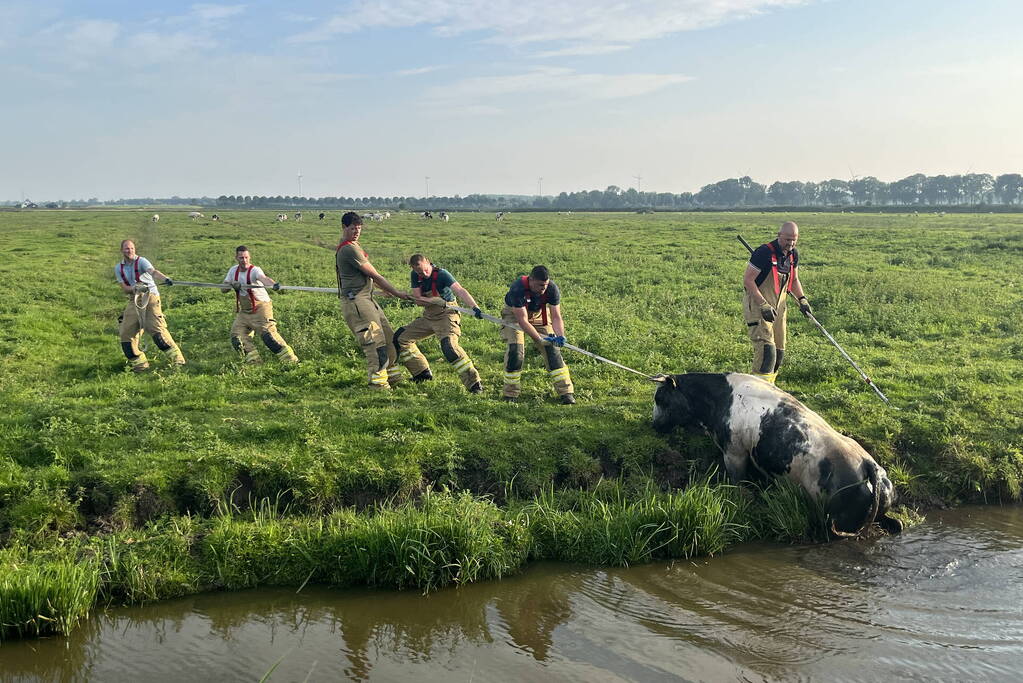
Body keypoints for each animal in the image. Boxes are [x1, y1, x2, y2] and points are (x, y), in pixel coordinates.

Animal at [651, 372, 902, 537]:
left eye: (660, 398)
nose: (653, 425)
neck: (720, 400)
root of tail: (868, 465)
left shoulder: (734, 451)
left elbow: (737, 480)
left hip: (838, 521)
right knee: (896, 524)